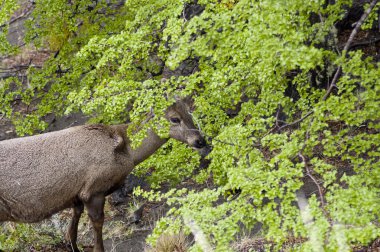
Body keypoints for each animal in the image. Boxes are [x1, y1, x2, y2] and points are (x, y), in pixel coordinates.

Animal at [0, 98, 208, 252]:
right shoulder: (94, 190)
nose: (200, 140)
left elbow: (71, 233)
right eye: (174, 119)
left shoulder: (77, 196)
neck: (127, 153)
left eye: (190, 113)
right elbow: (98, 229)